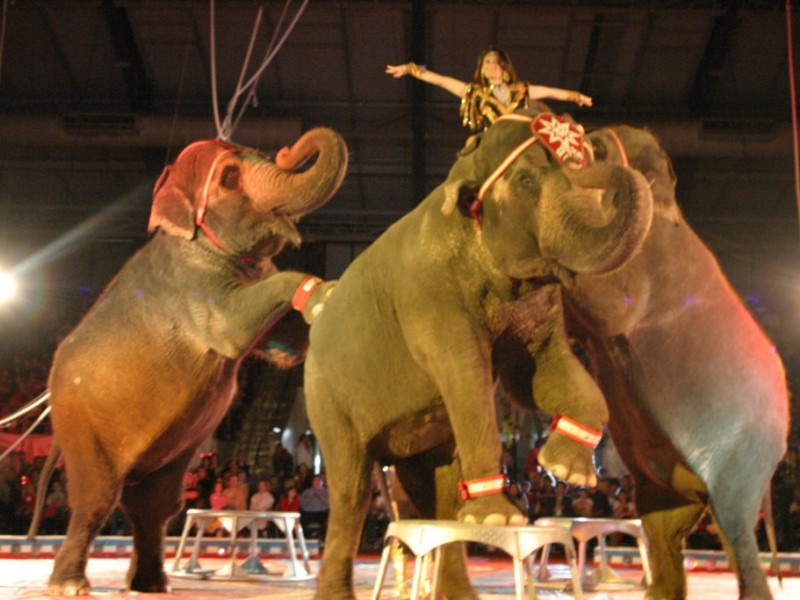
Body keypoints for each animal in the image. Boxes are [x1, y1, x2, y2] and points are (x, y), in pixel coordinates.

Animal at [36, 127, 346, 596]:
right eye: (231, 177)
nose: (288, 149)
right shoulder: (189, 284)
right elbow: (233, 327)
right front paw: (323, 291)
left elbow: (286, 349)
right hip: (82, 426)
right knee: (96, 499)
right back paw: (71, 586)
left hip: (160, 456)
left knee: (155, 503)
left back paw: (150, 584)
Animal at [304, 105, 652, 596]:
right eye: (526, 180)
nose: (600, 140)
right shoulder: (430, 295)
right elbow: (465, 373)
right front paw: (500, 516)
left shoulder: (536, 303)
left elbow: (533, 376)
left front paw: (568, 471)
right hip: (327, 399)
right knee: (350, 491)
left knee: (438, 495)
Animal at [560, 124, 792, 596]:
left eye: (599, 148)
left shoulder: (653, 263)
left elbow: (610, 304)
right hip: (670, 483)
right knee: (665, 529)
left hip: (746, 459)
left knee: (734, 531)